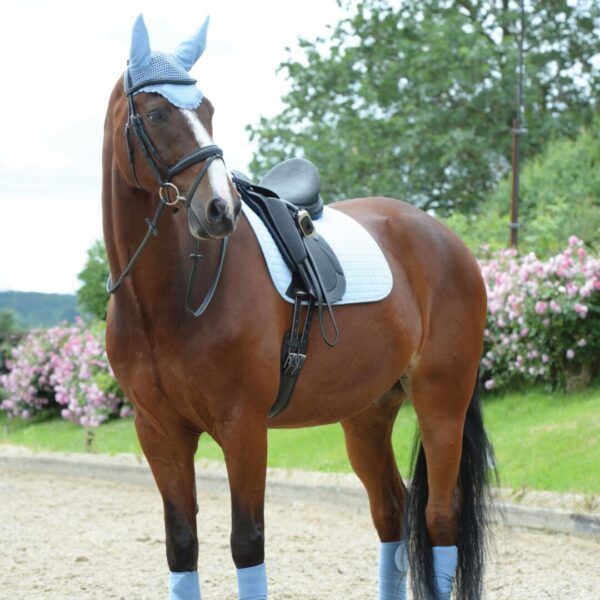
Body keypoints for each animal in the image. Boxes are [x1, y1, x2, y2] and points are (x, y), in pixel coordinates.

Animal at [103, 14, 494, 600]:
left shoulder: (243, 426)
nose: (219, 210)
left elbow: (247, 544)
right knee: (391, 511)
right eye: (155, 113)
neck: (163, 301)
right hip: (366, 413)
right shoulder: (158, 432)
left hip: (441, 400)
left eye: (207, 110)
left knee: (439, 518)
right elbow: (181, 545)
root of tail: (447, 240)